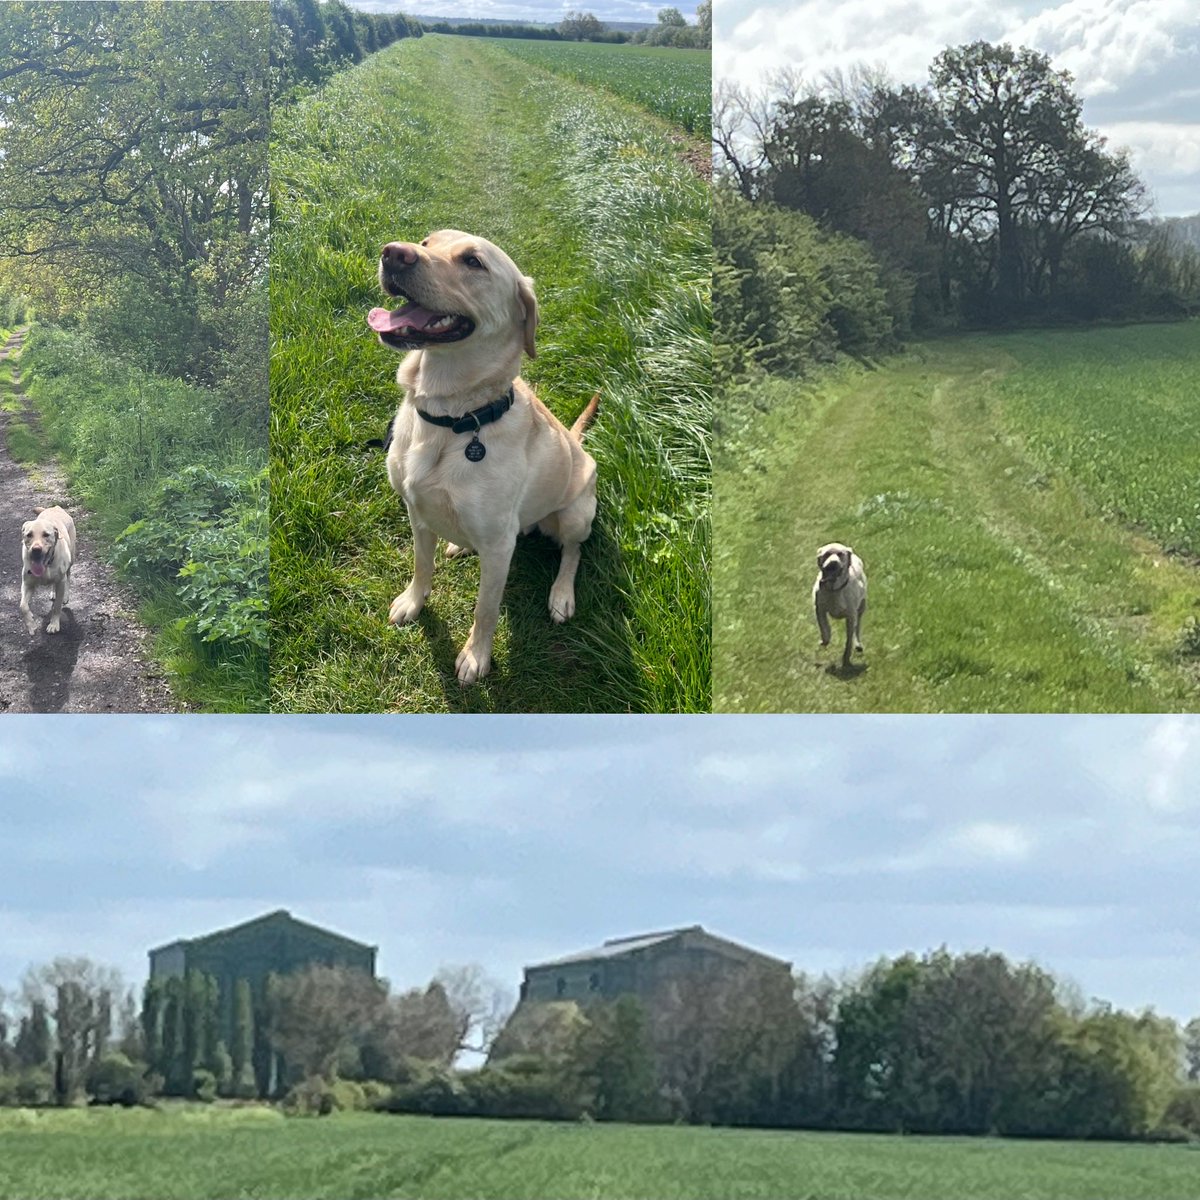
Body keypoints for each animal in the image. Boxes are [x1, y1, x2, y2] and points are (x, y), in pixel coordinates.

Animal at [20, 504, 77, 638]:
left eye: (46, 535)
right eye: (29, 535)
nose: (36, 549)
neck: (46, 565)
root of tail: (55, 507)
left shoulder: (61, 581)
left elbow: (57, 606)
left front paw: (54, 624)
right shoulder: (27, 584)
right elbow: (23, 606)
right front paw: (31, 625)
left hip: (71, 559)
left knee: (68, 576)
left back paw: (65, 595)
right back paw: (53, 592)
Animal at [369, 231, 600, 686]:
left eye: (474, 262)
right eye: (427, 241)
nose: (393, 254)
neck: (450, 416)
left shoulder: (497, 547)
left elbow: (485, 609)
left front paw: (476, 657)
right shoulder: (417, 511)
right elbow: (422, 565)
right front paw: (412, 602)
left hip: (575, 514)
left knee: (573, 552)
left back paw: (561, 594)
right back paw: (459, 545)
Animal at [811, 542, 868, 672]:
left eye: (840, 554)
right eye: (826, 554)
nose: (833, 563)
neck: (834, 589)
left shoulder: (851, 617)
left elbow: (848, 640)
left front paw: (846, 660)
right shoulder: (819, 609)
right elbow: (825, 629)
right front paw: (824, 641)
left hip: (862, 607)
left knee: (858, 626)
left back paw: (858, 644)